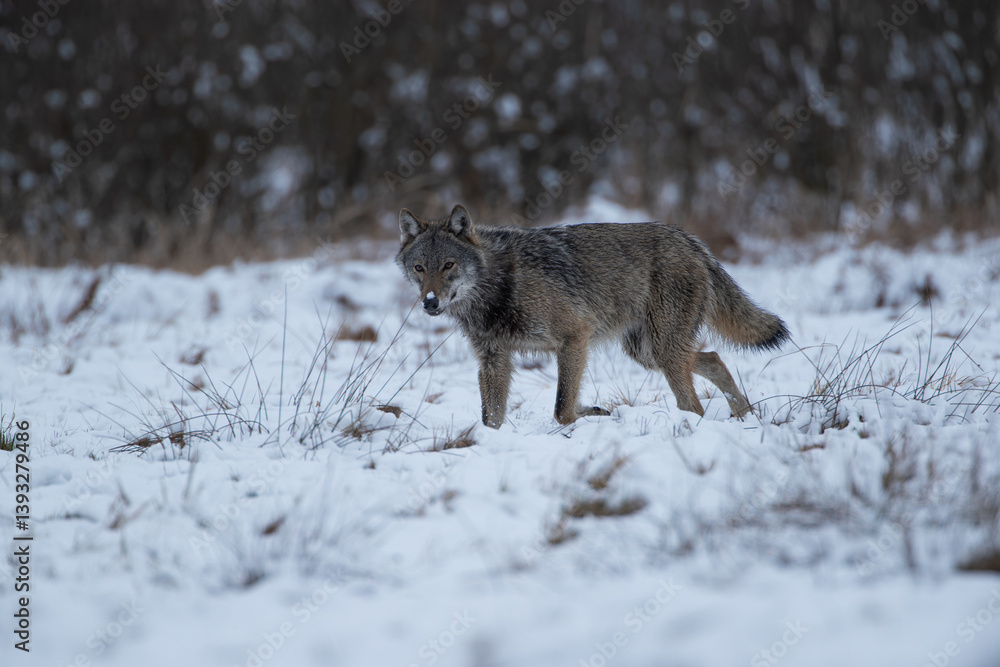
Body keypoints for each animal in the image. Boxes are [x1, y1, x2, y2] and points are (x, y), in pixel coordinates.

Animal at [396, 204, 789, 429]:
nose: (430, 302)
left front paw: (591, 415)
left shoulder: (575, 337)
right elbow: (489, 418)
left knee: (693, 402)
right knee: (714, 358)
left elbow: (562, 408)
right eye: (420, 268)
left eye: (448, 265)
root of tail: (690, 239)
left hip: (659, 351)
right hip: (647, 353)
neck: (498, 287)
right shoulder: (494, 360)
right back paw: (744, 416)